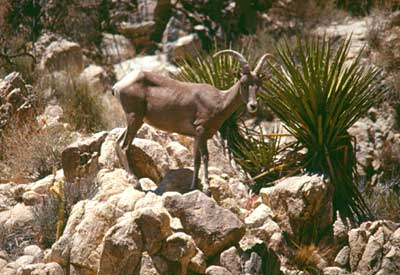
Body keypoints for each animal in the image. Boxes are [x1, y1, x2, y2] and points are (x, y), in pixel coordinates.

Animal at [111, 50, 270, 195]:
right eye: (243, 83)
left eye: (258, 84)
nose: (253, 106)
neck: (219, 100)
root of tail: (118, 86)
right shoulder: (201, 129)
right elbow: (205, 157)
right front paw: (206, 188)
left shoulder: (197, 136)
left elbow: (196, 160)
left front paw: (193, 187)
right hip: (134, 118)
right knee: (124, 146)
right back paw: (136, 183)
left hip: (135, 121)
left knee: (118, 143)